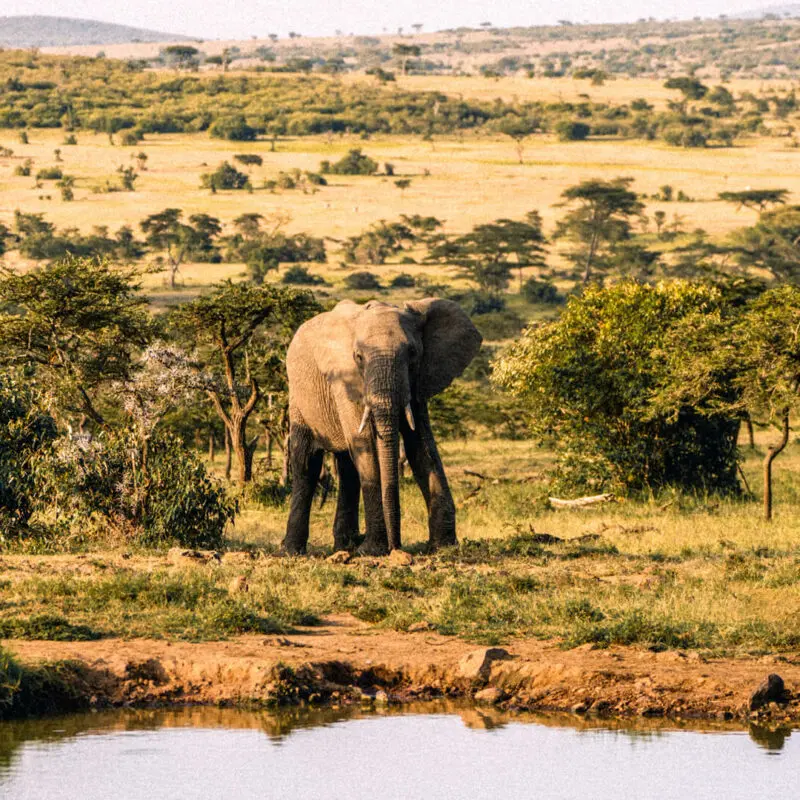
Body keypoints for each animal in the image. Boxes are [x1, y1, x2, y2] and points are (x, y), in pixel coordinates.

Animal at [281, 298, 482, 555]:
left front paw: (443, 547)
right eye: (358, 357)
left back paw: (345, 545)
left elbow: (422, 447)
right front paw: (373, 550)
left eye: (413, 353)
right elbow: (365, 444)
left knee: (347, 466)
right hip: (297, 396)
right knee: (307, 462)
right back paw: (292, 551)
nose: (396, 546)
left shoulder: (417, 381)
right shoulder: (343, 379)